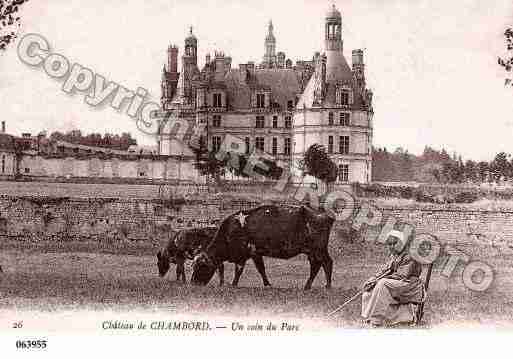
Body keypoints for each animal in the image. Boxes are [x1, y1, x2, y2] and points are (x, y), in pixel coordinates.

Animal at [190, 204, 334, 292]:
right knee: (315, 266)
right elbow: (258, 270)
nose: (193, 283)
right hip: (312, 252)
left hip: (319, 250)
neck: (231, 230)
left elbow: (243, 270)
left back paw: (327, 286)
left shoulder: (249, 254)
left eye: (201, 266)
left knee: (327, 263)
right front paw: (266, 284)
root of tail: (324, 215)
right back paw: (307, 286)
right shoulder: (253, 254)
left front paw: (234, 284)